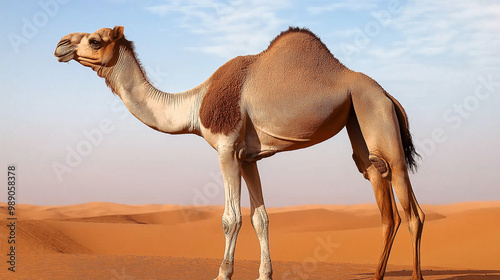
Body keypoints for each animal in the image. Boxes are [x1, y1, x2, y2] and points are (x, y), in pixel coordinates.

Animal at [55, 26, 426, 280]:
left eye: (94, 40)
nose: (61, 45)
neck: (194, 106)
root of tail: (388, 95)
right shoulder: (248, 158)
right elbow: (260, 218)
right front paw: (264, 274)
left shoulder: (226, 148)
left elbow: (230, 218)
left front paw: (222, 273)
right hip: (359, 122)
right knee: (383, 194)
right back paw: (377, 275)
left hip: (376, 115)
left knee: (409, 208)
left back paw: (415, 275)